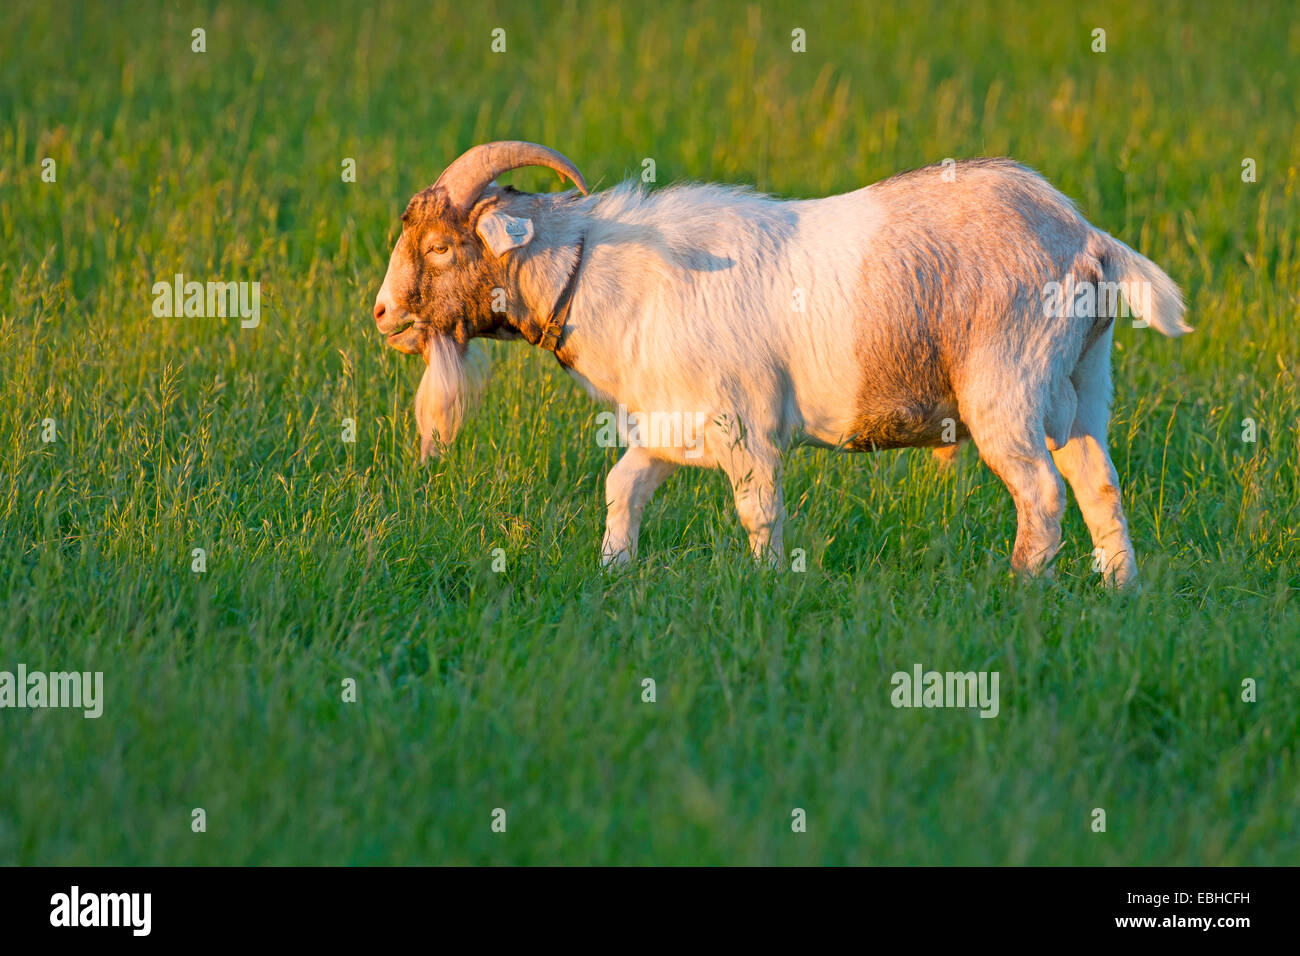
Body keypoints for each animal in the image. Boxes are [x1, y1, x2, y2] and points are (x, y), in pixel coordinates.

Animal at [374, 140, 1190, 582]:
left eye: (440, 246)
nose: (383, 316)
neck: (612, 276)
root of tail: (1087, 238)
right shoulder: (670, 426)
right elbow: (622, 487)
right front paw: (614, 570)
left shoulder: (745, 429)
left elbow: (758, 512)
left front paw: (767, 587)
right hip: (1084, 385)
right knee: (1099, 482)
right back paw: (1119, 591)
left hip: (1006, 391)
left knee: (1042, 493)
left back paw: (1020, 589)